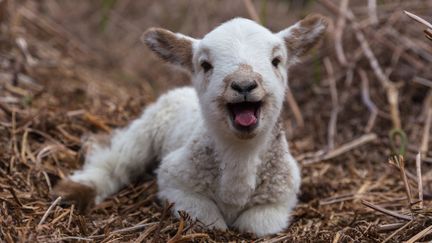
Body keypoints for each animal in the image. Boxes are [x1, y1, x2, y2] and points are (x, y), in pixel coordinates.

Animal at [52, 14, 326, 236]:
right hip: (149, 126)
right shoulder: (175, 181)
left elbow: (256, 225)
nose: (244, 85)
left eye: (276, 60)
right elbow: (210, 220)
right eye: (205, 65)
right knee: (117, 158)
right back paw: (76, 189)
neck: (240, 154)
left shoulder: (281, 196)